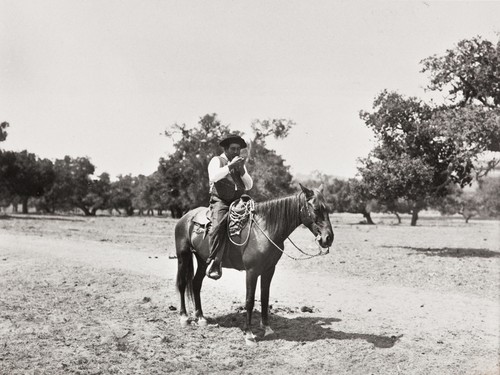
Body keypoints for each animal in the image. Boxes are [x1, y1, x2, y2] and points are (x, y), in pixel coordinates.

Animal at [174, 185, 334, 346]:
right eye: (316, 209)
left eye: (327, 208)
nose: (328, 238)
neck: (265, 229)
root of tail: (186, 217)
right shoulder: (252, 271)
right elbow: (249, 300)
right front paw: (249, 334)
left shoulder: (269, 270)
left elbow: (265, 297)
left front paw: (267, 328)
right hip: (183, 256)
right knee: (182, 284)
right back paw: (184, 317)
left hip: (202, 260)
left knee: (196, 284)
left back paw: (201, 317)